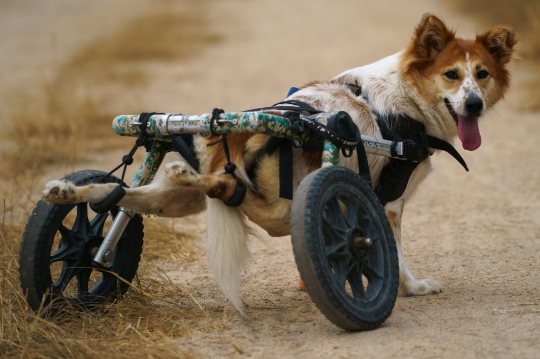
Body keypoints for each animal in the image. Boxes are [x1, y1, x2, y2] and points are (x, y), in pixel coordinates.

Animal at [41, 13, 516, 312]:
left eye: (483, 75)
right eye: (452, 75)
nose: (474, 105)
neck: (406, 99)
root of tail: (235, 130)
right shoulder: (391, 201)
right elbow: (396, 253)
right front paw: (411, 288)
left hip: (174, 201)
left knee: (121, 193)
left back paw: (70, 191)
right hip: (279, 206)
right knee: (230, 191)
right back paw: (184, 173)